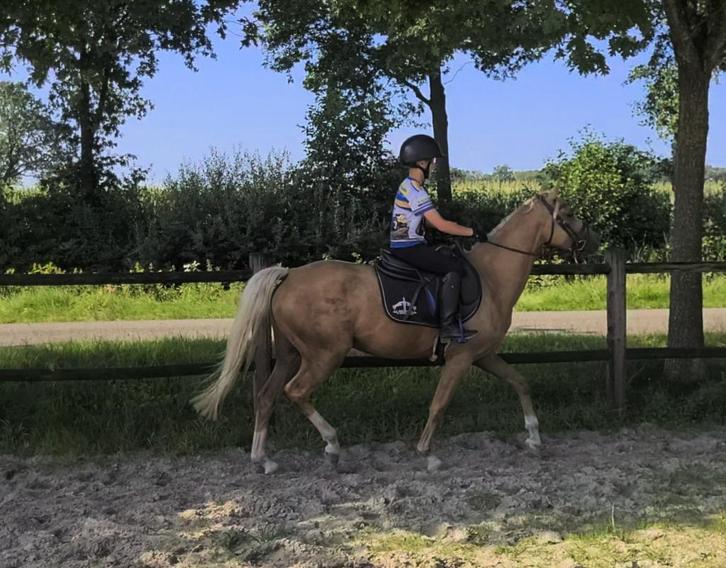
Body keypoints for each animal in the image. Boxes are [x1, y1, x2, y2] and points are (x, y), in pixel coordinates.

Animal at [192, 191, 599, 474]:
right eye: (568, 215)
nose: (592, 242)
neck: (491, 279)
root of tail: (287, 275)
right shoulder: (462, 357)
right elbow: (439, 404)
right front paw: (427, 454)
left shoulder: (483, 355)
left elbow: (520, 383)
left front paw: (534, 437)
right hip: (324, 355)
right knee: (296, 392)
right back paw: (332, 446)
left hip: (291, 355)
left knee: (265, 397)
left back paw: (264, 460)